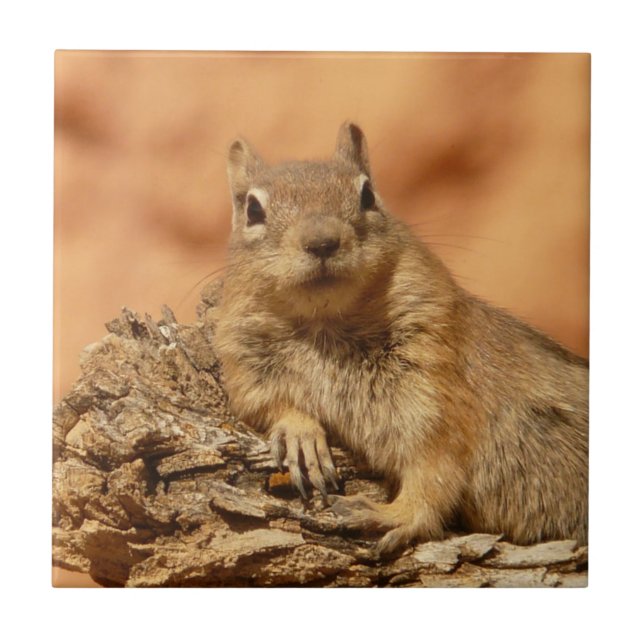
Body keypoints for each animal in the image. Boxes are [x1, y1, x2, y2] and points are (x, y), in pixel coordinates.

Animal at [214, 122, 588, 555]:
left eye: (367, 195)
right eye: (253, 210)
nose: (322, 241)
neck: (325, 325)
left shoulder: (436, 390)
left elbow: (435, 469)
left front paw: (393, 514)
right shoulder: (246, 365)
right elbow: (264, 404)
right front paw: (299, 433)